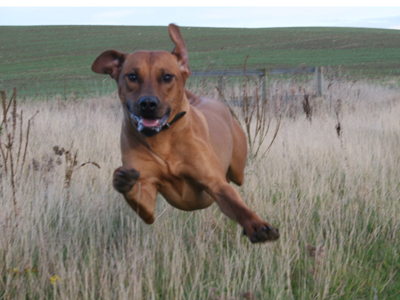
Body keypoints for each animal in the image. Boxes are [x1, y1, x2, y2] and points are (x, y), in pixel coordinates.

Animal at [91, 23, 278, 244]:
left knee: (235, 178)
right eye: (132, 76)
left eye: (167, 77)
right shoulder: (146, 195)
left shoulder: (215, 184)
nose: (148, 104)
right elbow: (139, 200)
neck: (162, 140)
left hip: (237, 169)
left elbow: (237, 205)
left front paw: (258, 225)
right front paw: (122, 179)